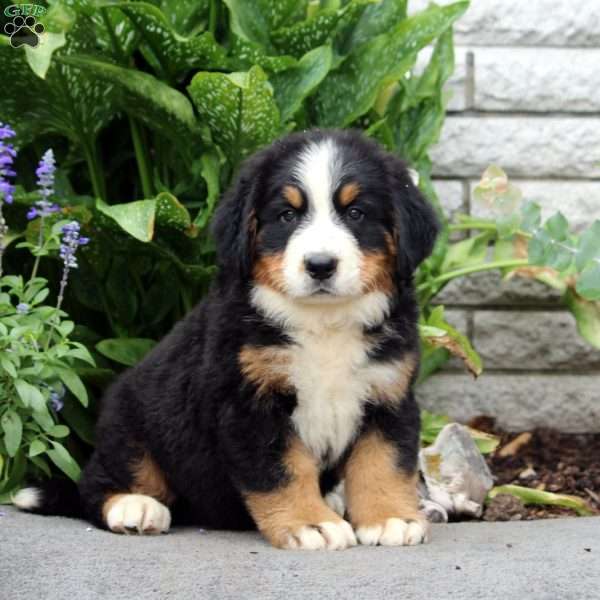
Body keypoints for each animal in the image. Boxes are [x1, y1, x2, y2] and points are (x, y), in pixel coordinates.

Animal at [15, 129, 436, 552]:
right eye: (287, 215)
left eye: (356, 213)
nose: (320, 265)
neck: (324, 323)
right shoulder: (248, 403)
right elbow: (284, 469)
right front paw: (311, 523)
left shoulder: (389, 393)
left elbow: (382, 461)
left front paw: (389, 518)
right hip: (133, 422)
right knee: (100, 481)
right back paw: (135, 507)